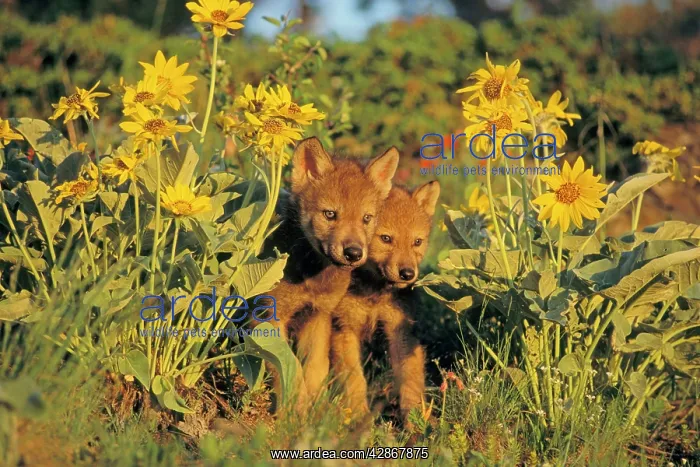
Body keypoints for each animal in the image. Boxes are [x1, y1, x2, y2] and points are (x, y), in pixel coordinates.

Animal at [261, 137, 399, 405]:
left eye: (367, 218)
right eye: (330, 214)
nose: (353, 253)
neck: (312, 278)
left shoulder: (319, 315)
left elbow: (315, 369)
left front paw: (318, 409)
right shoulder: (269, 317)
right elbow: (290, 367)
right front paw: (294, 411)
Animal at [328, 181, 440, 423]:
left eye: (417, 242)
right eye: (386, 239)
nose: (407, 274)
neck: (375, 294)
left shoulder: (401, 331)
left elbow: (410, 380)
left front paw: (416, 421)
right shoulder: (345, 329)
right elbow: (355, 380)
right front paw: (359, 416)